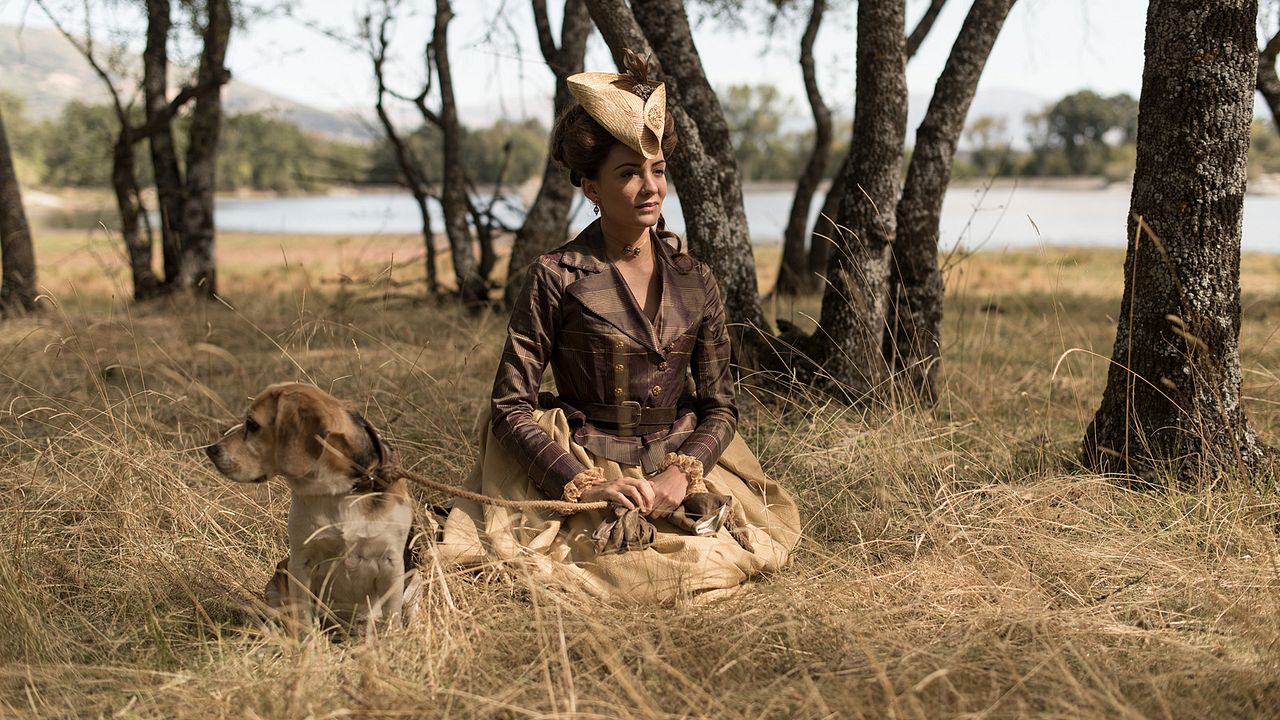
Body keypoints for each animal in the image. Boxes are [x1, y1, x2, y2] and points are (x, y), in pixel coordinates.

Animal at [206, 381, 419, 627]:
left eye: (253, 424)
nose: (211, 449)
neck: (339, 492)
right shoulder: (301, 562)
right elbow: (305, 619)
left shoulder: (391, 564)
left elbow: (392, 618)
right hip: (280, 575)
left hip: (416, 579)